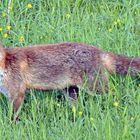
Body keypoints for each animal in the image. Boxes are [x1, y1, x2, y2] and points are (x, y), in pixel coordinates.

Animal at [0, 41, 139, 120]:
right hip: (71, 92)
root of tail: (99, 51)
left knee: (114, 95)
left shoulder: (17, 93)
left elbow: (13, 116)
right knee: (78, 109)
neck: (5, 65)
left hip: (95, 88)